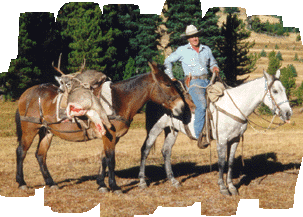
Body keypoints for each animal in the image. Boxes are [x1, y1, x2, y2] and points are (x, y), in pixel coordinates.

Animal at [15, 61, 186, 193]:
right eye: (167, 84)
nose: (182, 106)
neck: (118, 100)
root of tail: (26, 94)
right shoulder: (109, 135)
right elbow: (111, 159)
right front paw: (114, 186)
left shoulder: (111, 137)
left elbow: (103, 158)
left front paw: (101, 184)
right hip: (30, 129)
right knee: (21, 152)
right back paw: (22, 182)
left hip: (47, 131)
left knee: (40, 155)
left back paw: (51, 183)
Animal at [139, 70, 294, 196]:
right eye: (275, 91)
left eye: (284, 89)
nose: (288, 113)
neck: (234, 106)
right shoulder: (222, 140)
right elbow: (221, 163)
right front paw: (223, 188)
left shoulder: (235, 139)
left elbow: (230, 162)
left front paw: (232, 187)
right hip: (155, 128)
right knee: (145, 150)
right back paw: (142, 182)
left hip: (172, 130)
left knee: (166, 151)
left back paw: (173, 181)